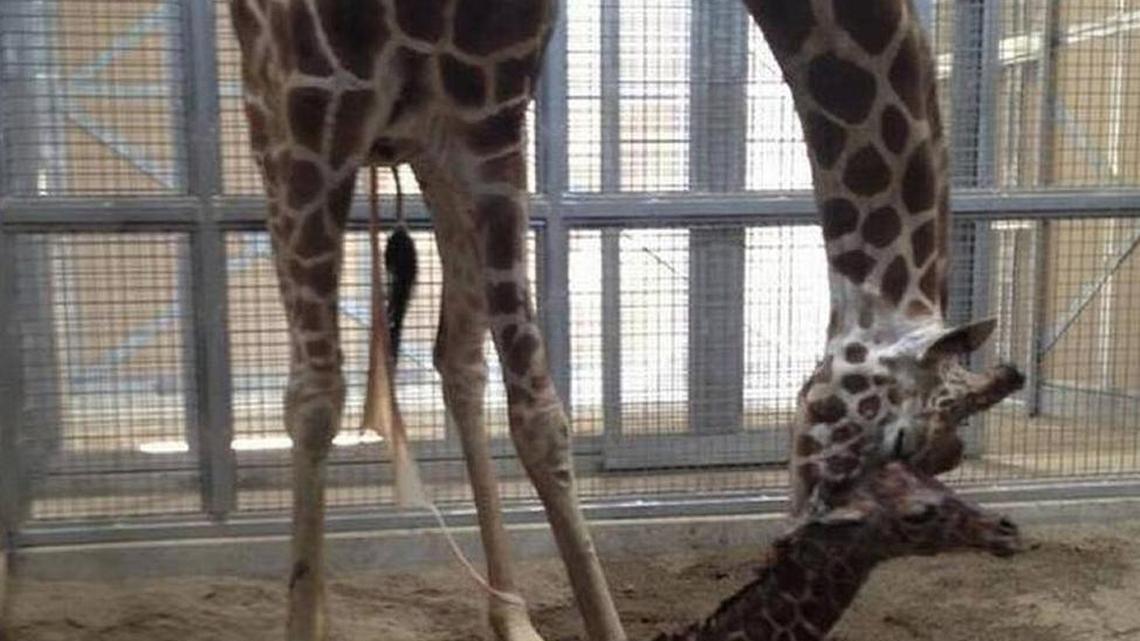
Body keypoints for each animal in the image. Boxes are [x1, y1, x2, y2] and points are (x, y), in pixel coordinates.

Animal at [227, 1, 1024, 640]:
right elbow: (315, 399)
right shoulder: (315, 95)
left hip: (429, 152)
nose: (800, 535)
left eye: (945, 460)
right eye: (904, 441)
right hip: (279, 119)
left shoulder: (488, 119)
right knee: (319, 392)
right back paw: (319, 609)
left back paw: (510, 615)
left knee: (459, 358)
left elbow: (541, 416)